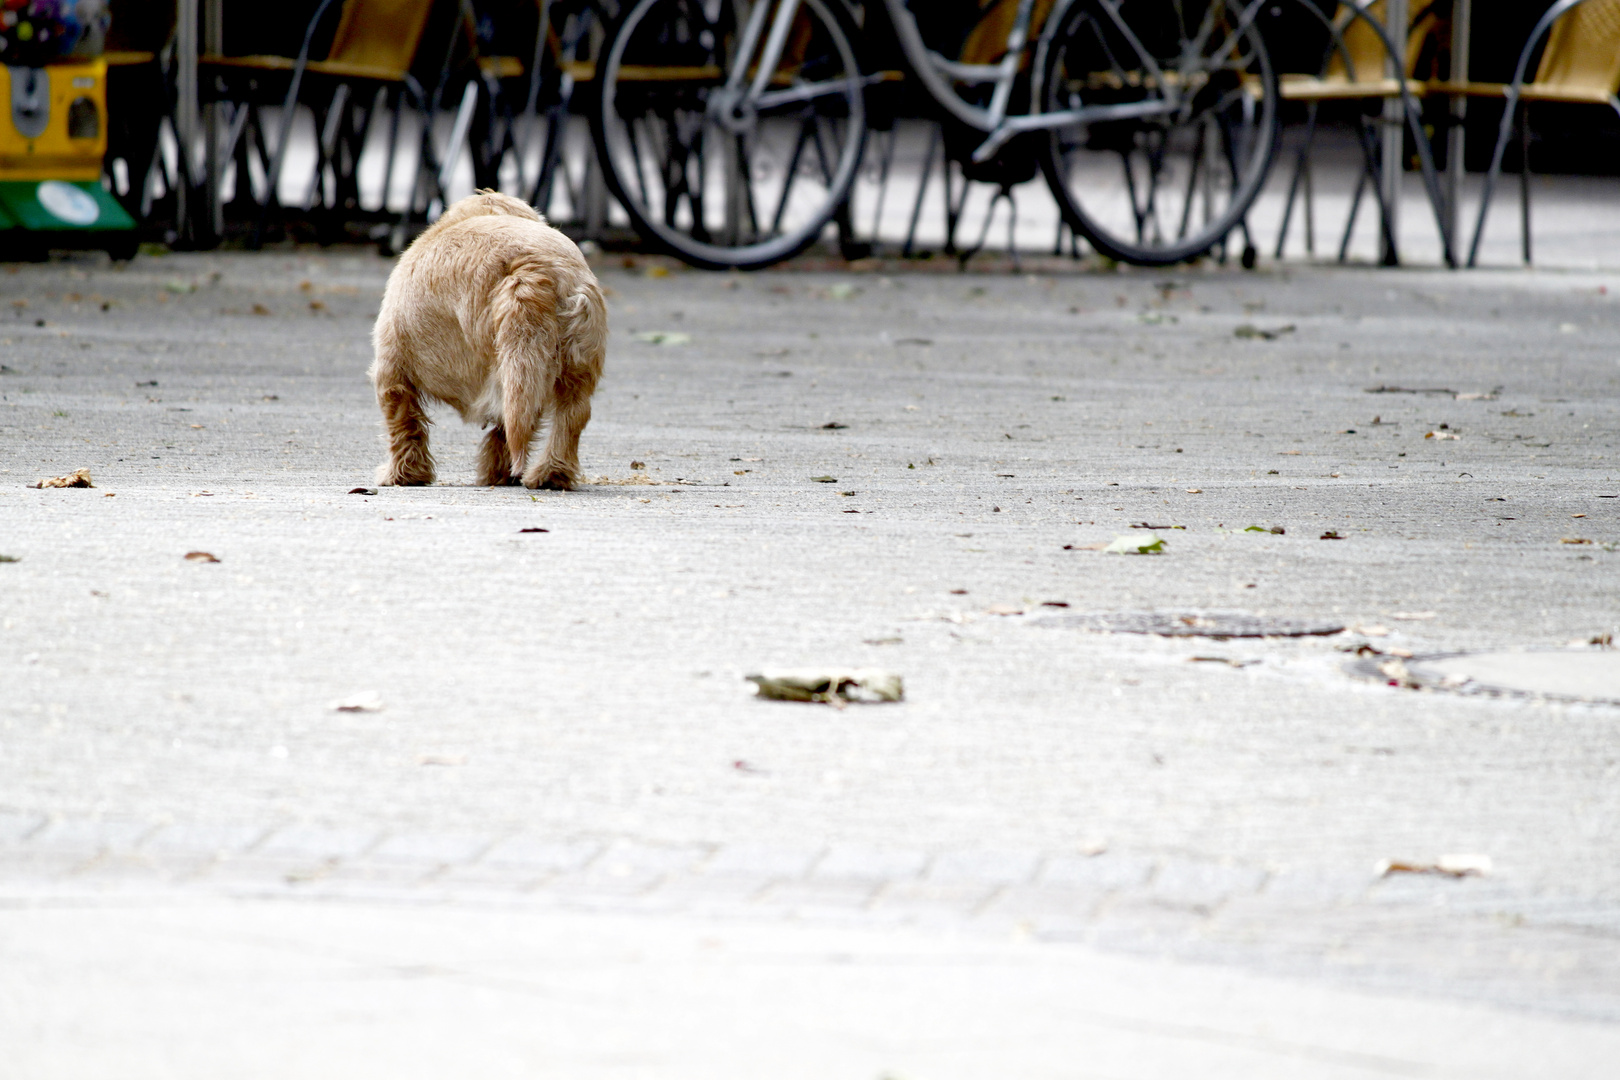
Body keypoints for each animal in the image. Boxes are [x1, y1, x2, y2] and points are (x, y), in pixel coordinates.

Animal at [367, 191, 609, 488]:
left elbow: (404, 424)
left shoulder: (391, 371)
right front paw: (498, 471)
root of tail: (533, 269)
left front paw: (404, 475)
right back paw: (550, 474)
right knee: (570, 416)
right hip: (571, 364)